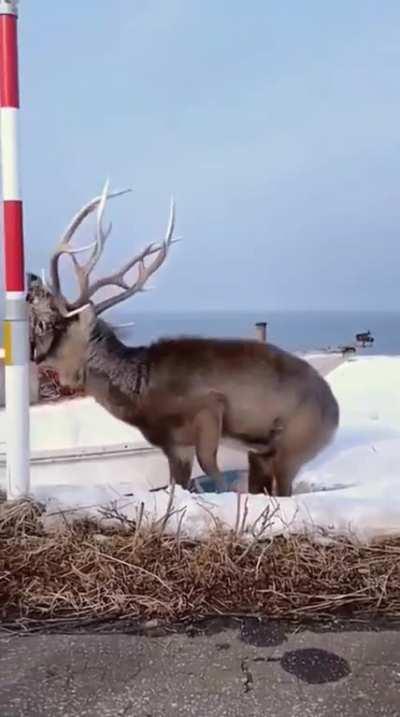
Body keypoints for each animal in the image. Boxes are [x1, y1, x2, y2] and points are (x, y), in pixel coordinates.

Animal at [28, 180, 340, 497]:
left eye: (52, 324)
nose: (35, 355)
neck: (143, 392)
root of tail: (334, 407)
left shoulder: (208, 408)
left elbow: (211, 469)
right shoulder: (175, 445)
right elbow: (179, 483)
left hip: (296, 442)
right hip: (264, 454)